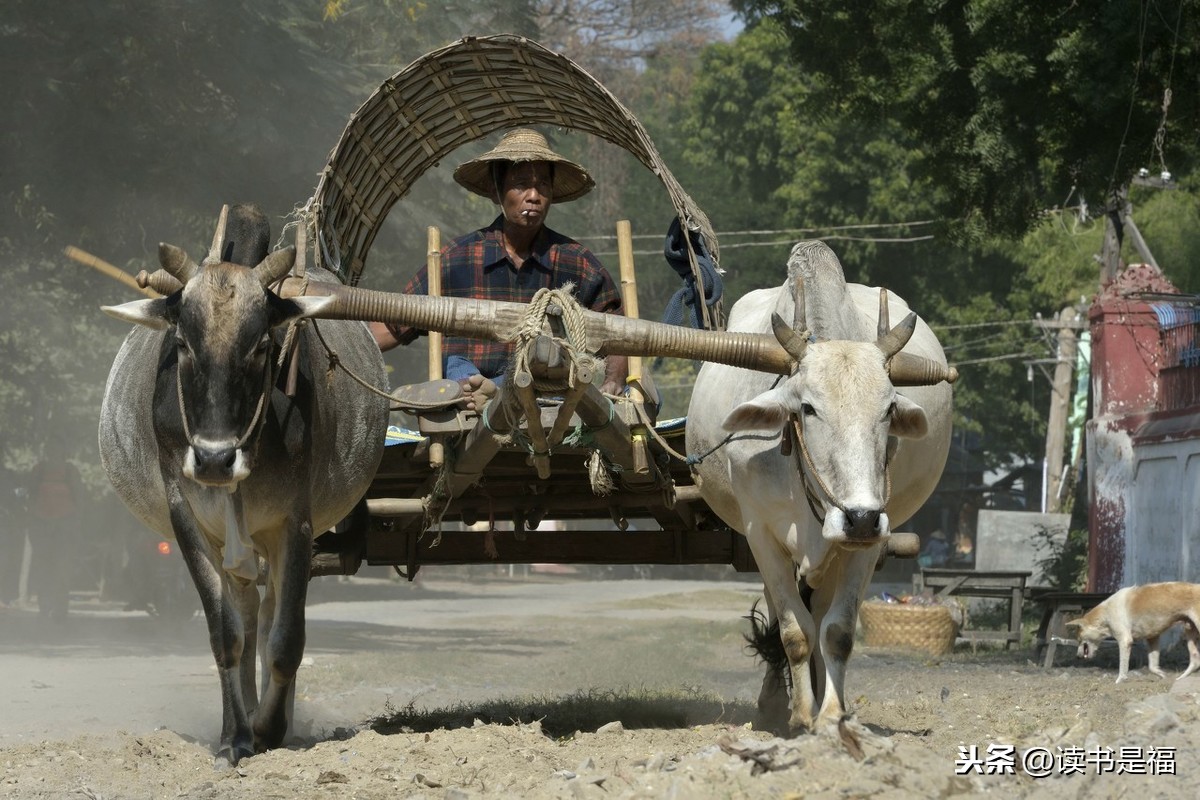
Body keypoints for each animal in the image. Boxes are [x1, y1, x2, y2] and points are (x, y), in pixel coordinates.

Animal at [1070, 582, 1200, 681]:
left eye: (1079, 639)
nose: (1077, 656)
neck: (1105, 613)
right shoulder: (1152, 638)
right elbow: (1152, 666)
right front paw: (1162, 675)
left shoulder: (1125, 641)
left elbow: (1123, 666)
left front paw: (1119, 681)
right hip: (1190, 632)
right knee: (1195, 660)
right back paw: (1180, 678)